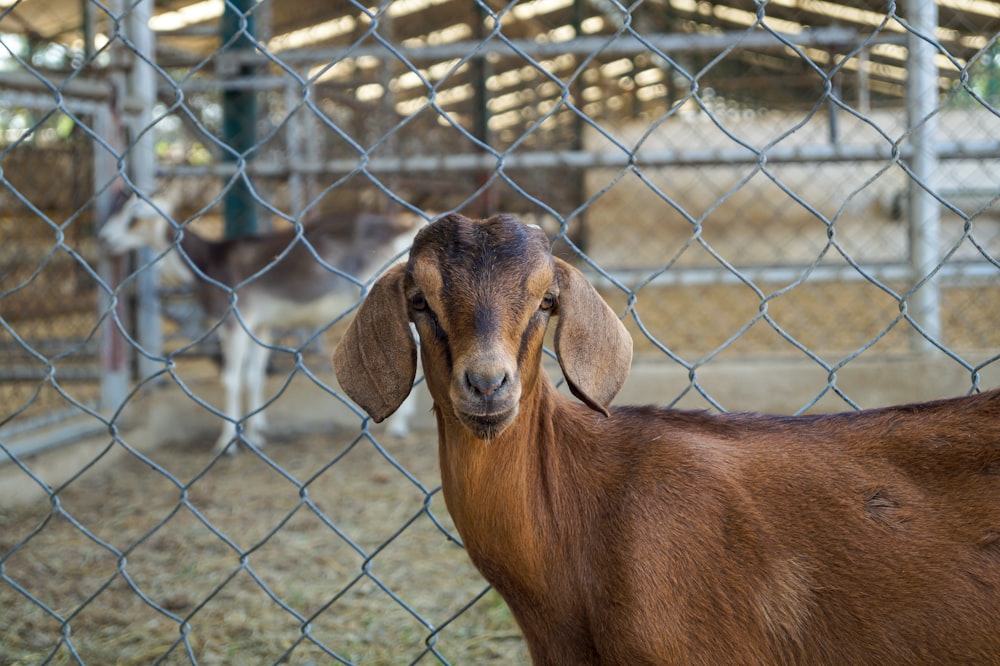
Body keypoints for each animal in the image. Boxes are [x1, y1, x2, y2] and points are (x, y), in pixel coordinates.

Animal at [98, 189, 418, 454]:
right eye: (113, 211)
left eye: (134, 217)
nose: (105, 239)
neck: (209, 262)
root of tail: (406, 228)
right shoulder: (260, 325)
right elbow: (253, 376)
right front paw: (256, 434)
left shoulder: (234, 319)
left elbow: (231, 378)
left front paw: (227, 443)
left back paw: (399, 428)